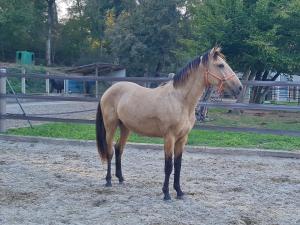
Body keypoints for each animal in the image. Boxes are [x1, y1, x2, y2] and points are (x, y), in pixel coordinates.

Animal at [95, 46, 243, 200]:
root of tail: (108, 91)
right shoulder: (169, 137)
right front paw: (166, 193)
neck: (180, 100)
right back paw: (108, 180)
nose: (239, 87)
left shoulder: (182, 138)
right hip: (111, 127)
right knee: (110, 151)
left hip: (125, 127)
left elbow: (178, 165)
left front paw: (179, 192)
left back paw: (121, 178)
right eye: (220, 65)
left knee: (119, 149)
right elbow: (168, 166)